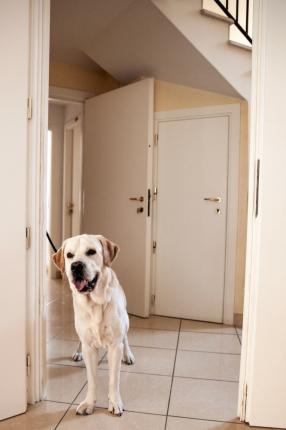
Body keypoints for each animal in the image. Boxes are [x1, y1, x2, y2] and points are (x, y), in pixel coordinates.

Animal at [52, 233, 135, 414]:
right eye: (69, 255)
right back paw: (77, 352)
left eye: (91, 251)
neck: (95, 303)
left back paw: (128, 355)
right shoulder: (89, 347)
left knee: (125, 338)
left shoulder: (114, 346)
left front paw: (115, 402)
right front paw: (89, 403)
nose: (76, 266)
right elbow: (92, 380)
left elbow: (113, 380)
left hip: (126, 320)